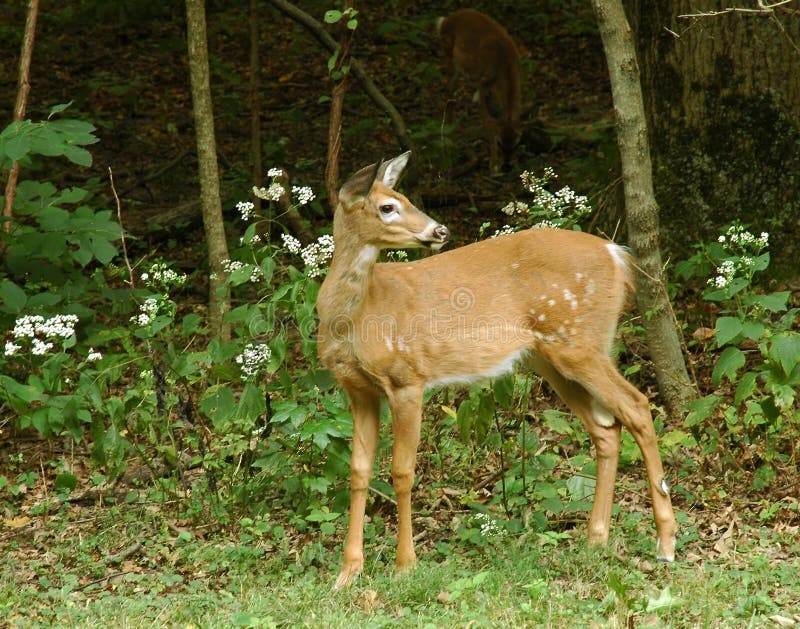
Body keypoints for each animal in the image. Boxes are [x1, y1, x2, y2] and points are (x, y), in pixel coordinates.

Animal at [316, 153, 680, 588]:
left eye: (403, 198)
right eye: (388, 206)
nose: (440, 229)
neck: (357, 316)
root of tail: (616, 253)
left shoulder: (407, 377)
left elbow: (402, 472)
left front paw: (406, 566)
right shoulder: (357, 390)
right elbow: (357, 472)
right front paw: (347, 572)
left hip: (579, 342)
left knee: (638, 406)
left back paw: (665, 542)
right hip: (552, 356)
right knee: (606, 428)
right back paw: (595, 540)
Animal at [438, 9, 524, 174]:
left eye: (517, 144)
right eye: (499, 142)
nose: (507, 166)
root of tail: (445, 19)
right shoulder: (482, 84)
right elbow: (488, 121)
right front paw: (494, 165)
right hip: (449, 54)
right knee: (447, 90)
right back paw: (450, 140)